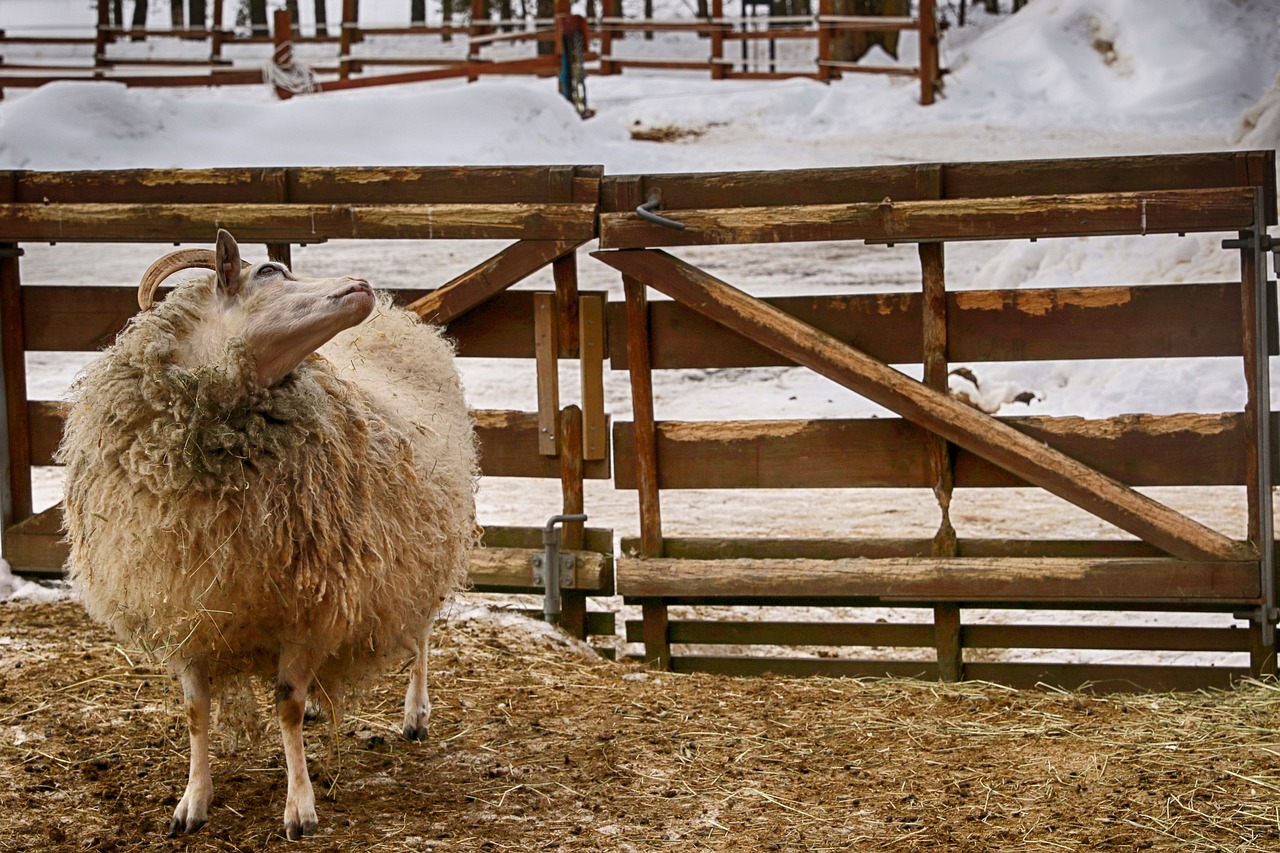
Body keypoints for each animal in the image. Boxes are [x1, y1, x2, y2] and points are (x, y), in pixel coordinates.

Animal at [55, 227, 481, 835]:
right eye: (270, 274)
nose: (362, 284)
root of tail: (403, 319)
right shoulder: (184, 604)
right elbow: (195, 711)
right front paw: (193, 801)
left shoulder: (305, 607)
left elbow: (285, 706)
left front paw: (299, 806)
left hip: (420, 545)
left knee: (419, 632)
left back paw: (415, 714)